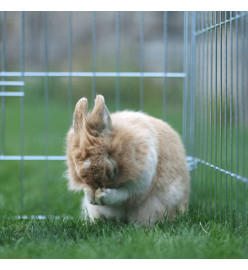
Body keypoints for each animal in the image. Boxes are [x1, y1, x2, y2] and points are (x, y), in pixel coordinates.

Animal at [65, 95, 190, 226]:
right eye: (80, 175)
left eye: (114, 170)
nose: (98, 190)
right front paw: (91, 195)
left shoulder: (141, 182)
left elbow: (124, 194)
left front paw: (102, 195)